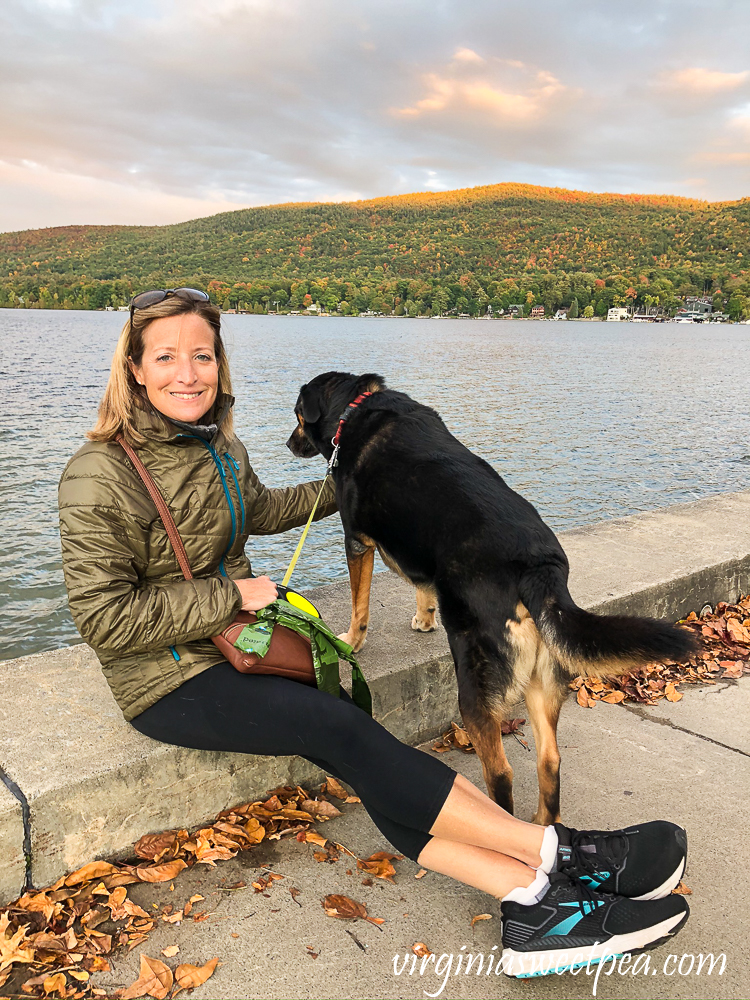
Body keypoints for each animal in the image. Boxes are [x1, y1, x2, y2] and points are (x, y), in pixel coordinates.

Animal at [286, 372, 692, 824]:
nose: (288, 444)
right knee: (550, 761)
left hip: (475, 686)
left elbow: (360, 604)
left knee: (501, 772)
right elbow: (423, 583)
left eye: (297, 415)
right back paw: (542, 826)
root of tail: (538, 568)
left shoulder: (356, 540)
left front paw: (351, 641)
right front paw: (425, 617)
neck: (355, 406)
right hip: (542, 683)